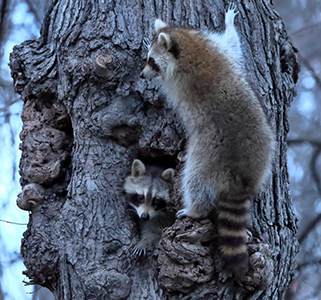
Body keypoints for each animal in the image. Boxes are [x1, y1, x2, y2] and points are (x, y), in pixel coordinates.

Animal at [141, 5, 274, 276]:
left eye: (151, 61)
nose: (141, 74)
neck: (183, 44)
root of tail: (242, 175)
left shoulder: (202, 56)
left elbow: (232, 44)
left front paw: (229, 24)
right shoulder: (211, 47)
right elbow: (233, 48)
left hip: (208, 157)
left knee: (195, 180)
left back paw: (196, 209)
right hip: (268, 150)